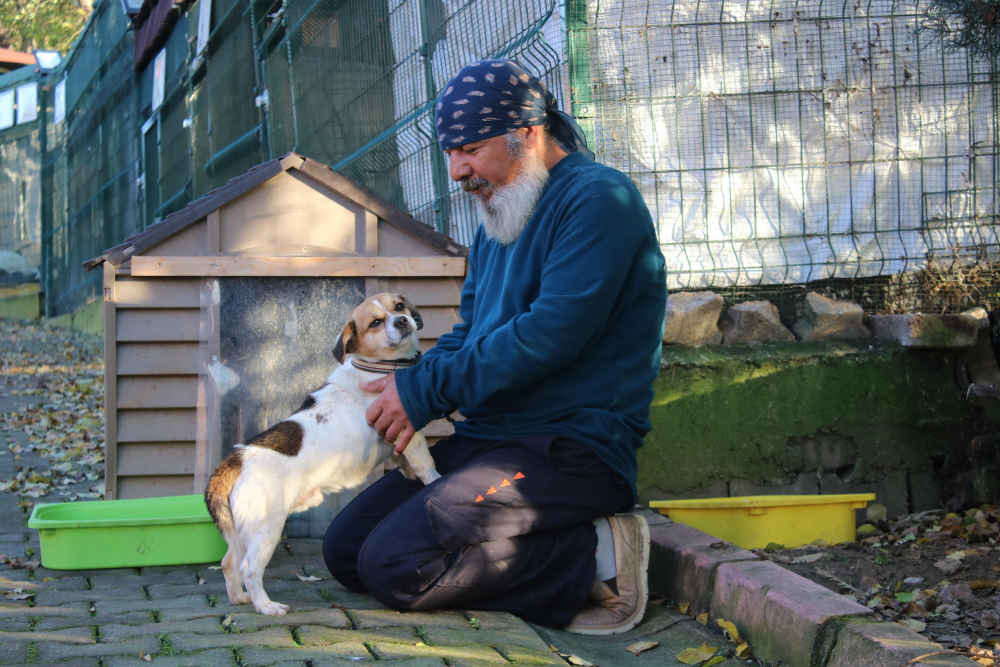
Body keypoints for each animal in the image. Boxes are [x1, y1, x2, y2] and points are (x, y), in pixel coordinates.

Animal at [205, 292, 440, 616]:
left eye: (399, 306)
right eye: (375, 322)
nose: (402, 321)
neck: (376, 366)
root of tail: (237, 459)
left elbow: (403, 460)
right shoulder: (410, 433)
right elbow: (426, 465)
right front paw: (435, 480)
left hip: (242, 530)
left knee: (229, 563)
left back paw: (240, 599)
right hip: (266, 529)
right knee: (249, 568)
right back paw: (266, 606)